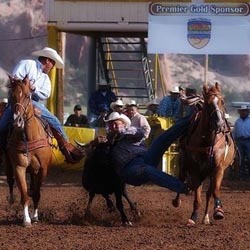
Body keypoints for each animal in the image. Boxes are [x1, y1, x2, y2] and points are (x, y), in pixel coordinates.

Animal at [5, 75, 52, 227]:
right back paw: (11, 198)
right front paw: (26, 219)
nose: (17, 120)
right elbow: (24, 194)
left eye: (27, 95)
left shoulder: (43, 168)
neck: (29, 136)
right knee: (10, 180)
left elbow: (37, 193)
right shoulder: (19, 167)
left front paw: (35, 216)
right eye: (12, 96)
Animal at [173, 83, 235, 227]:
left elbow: (215, 191)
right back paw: (177, 201)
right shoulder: (195, 171)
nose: (220, 124)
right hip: (184, 164)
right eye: (208, 104)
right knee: (181, 179)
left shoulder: (218, 169)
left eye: (222, 101)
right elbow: (197, 197)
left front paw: (218, 211)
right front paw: (193, 217)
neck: (207, 141)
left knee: (208, 193)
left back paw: (206, 217)